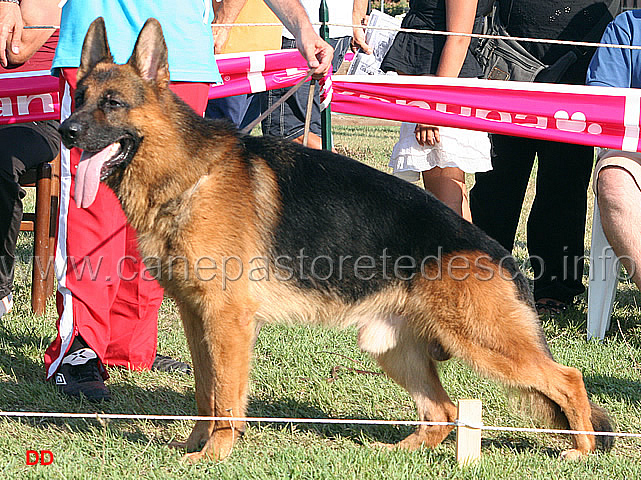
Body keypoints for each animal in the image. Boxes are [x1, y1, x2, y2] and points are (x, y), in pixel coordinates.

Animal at [61, 17, 616, 462]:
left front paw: (215, 454)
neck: (187, 172)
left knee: (568, 379)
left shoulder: (227, 321)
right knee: (443, 411)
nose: (65, 132)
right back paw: (401, 451)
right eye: (78, 99)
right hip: (393, 349)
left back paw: (582, 451)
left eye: (113, 104)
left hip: (486, 343)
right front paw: (196, 445)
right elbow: (205, 393)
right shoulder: (198, 318)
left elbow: (225, 398)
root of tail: (500, 255)